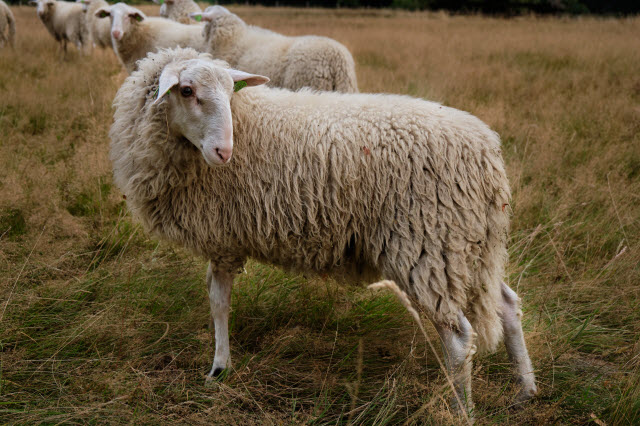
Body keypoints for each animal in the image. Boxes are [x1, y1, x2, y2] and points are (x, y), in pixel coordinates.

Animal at [111, 48, 540, 418]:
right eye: (187, 91)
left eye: (231, 92)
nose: (224, 152)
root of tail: (487, 154)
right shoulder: (226, 238)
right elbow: (217, 300)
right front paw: (221, 366)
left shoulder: (222, 238)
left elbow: (218, 302)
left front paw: (219, 370)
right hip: (470, 245)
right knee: (507, 304)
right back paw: (525, 391)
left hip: (427, 242)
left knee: (459, 337)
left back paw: (460, 409)